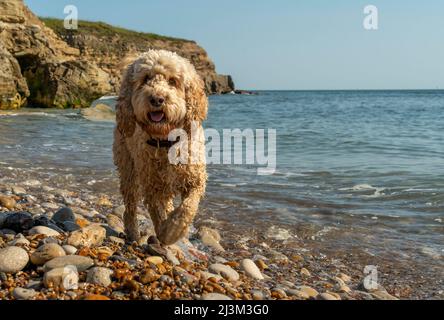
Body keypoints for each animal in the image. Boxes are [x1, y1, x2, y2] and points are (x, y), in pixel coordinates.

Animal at [112, 49, 206, 245]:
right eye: (146, 79)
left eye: (173, 81)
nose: (157, 99)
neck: (165, 142)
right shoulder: (151, 185)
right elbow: (157, 213)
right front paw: (165, 231)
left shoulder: (195, 179)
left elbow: (187, 208)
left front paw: (173, 231)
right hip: (129, 170)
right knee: (130, 206)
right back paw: (133, 233)